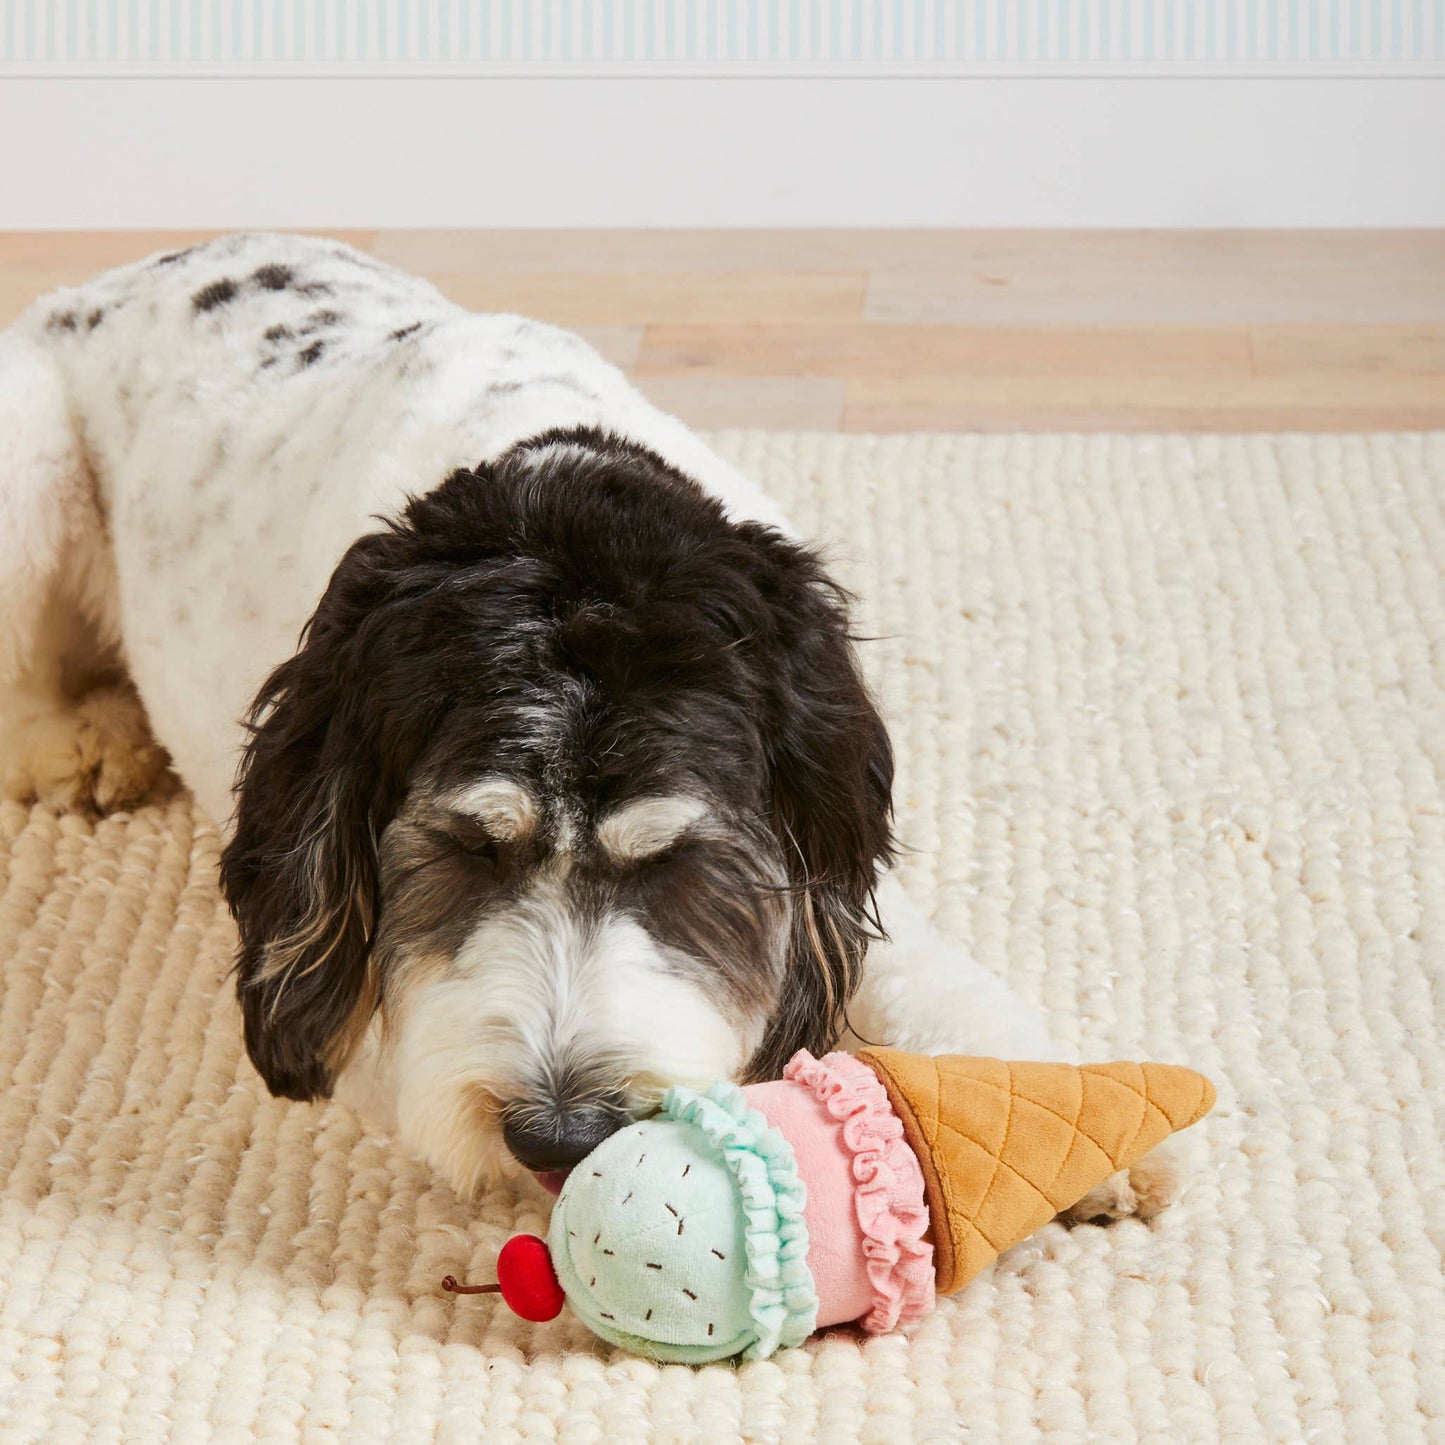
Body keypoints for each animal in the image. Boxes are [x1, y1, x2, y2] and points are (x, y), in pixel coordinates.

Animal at [0, 236, 1173, 1219]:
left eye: (675, 862)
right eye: (465, 850)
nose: (560, 1135)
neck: (556, 499)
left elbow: (921, 968)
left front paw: (1064, 1111)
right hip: (30, 454)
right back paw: (81, 740)